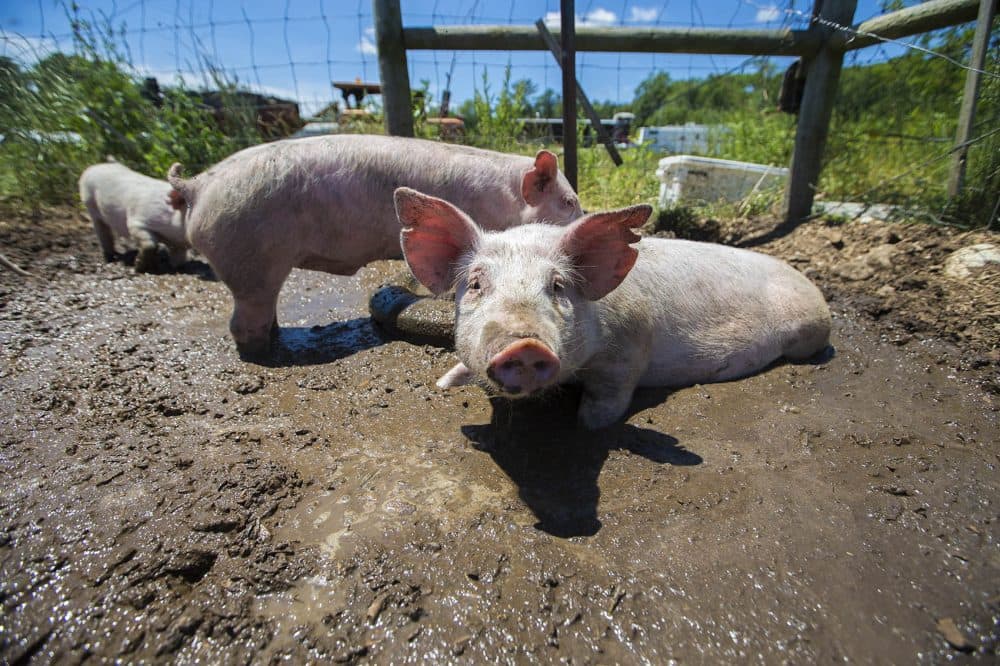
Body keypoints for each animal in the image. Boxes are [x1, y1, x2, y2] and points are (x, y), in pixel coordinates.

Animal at [167, 132, 584, 356]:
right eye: (567, 202)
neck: (505, 199)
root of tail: (197, 185)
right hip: (249, 261)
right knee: (242, 324)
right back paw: (270, 353)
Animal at [394, 187, 832, 428]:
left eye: (558, 286)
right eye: (476, 284)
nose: (524, 344)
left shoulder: (629, 349)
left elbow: (607, 399)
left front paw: (586, 425)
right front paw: (444, 383)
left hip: (809, 331)